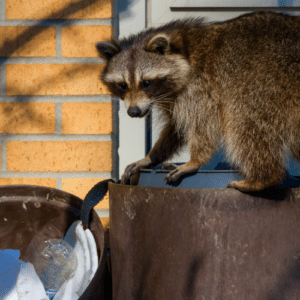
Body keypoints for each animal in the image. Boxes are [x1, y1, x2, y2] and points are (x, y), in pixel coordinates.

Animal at [96, 11, 300, 192]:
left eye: (146, 83)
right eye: (123, 85)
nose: (134, 112)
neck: (184, 52)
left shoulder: (201, 86)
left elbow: (202, 123)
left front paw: (195, 160)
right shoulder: (173, 96)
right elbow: (176, 127)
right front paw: (152, 156)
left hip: (264, 84)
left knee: (244, 122)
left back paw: (262, 178)